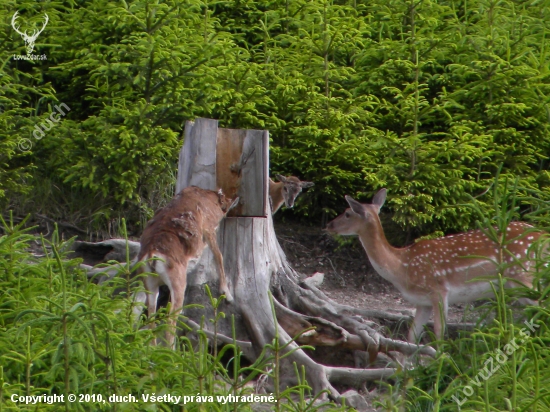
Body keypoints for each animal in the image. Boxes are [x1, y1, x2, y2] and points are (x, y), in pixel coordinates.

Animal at [137, 188, 238, 346]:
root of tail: (152, 255)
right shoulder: (209, 228)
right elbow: (219, 256)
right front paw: (227, 294)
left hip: (149, 283)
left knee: (151, 315)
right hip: (177, 282)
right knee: (170, 318)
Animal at [328, 188, 544, 342]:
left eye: (347, 213)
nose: (329, 225)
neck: (401, 266)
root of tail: (543, 234)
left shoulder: (438, 290)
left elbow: (439, 335)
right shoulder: (422, 302)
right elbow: (411, 337)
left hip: (522, 273)